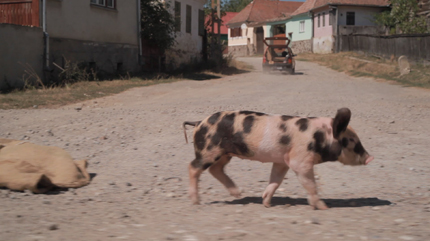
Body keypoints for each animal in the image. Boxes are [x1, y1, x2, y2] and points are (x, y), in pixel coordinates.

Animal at [183, 108, 374, 210]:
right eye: (352, 141)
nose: (370, 157)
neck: (319, 137)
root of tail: (199, 122)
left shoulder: (282, 161)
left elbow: (276, 180)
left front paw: (266, 203)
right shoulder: (301, 160)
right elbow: (310, 184)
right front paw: (324, 207)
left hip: (224, 153)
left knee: (215, 169)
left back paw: (238, 193)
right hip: (210, 150)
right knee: (193, 167)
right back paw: (195, 201)